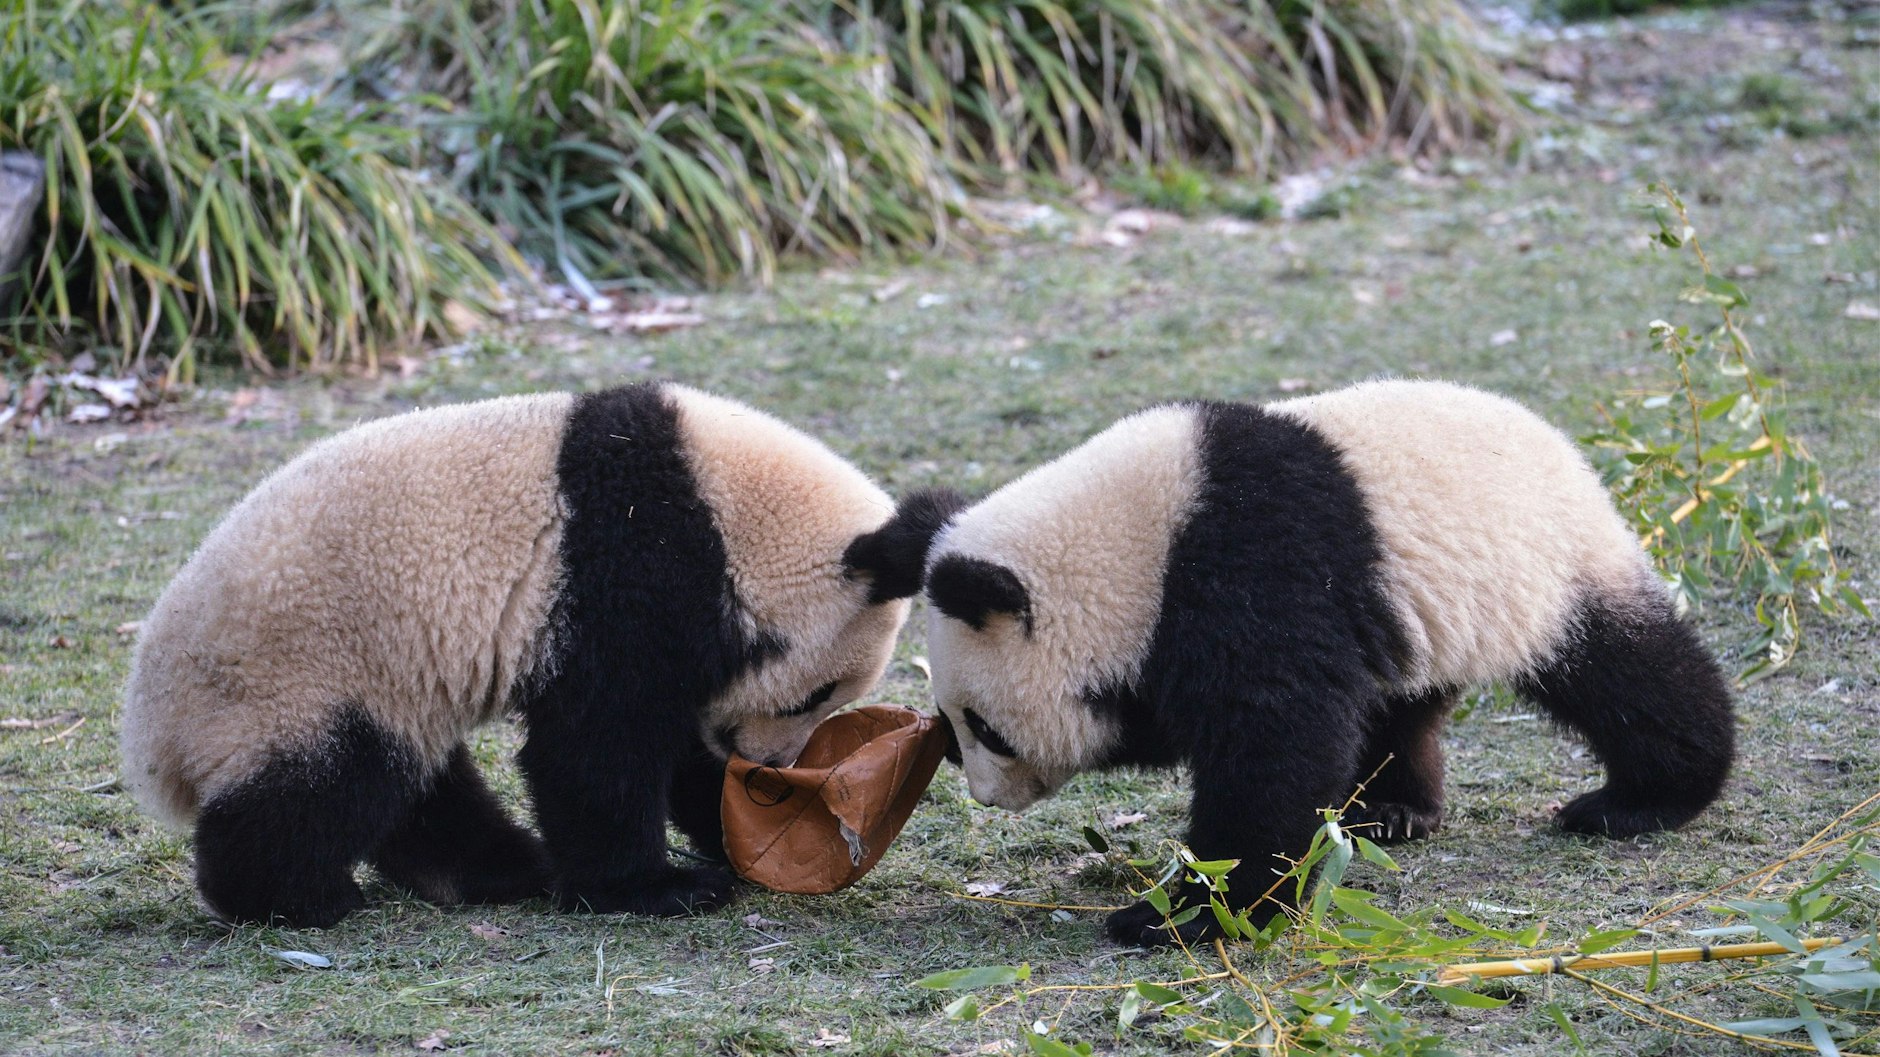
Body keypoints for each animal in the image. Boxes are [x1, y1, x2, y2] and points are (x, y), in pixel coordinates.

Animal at [121, 382, 957, 929]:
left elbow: (671, 742)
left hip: (385, 686)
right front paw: (658, 887)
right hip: (300, 676)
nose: (769, 762)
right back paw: (295, 898)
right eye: (810, 695)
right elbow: (598, 745)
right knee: (321, 786)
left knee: (415, 785)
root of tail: (154, 741)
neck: (724, 512)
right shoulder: (626, 572)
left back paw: (498, 869)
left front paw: (729, 834)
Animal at [921, 379, 1736, 947]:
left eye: (985, 729)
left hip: (1548, 569)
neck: (1136, 548)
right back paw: (1392, 811)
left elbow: (1273, 750)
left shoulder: (1250, 572)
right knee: (1395, 708)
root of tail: (1563, 446)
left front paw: (1188, 914)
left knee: (1625, 672)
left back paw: (1640, 799)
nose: (988, 797)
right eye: (948, 725)